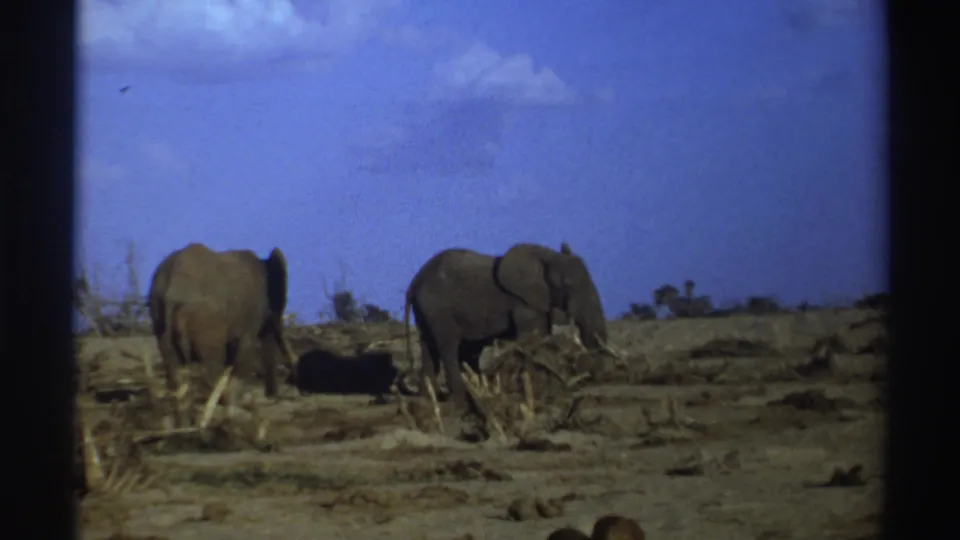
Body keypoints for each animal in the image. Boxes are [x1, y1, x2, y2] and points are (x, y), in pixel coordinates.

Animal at [147, 242, 296, 427]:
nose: (273, 397)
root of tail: (172, 290)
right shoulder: (250, 315)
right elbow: (243, 352)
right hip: (207, 321)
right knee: (211, 367)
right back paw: (208, 420)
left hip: (158, 316)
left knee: (176, 372)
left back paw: (185, 426)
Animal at [401, 242, 609, 408]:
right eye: (567, 283)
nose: (595, 379)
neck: (547, 256)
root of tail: (414, 282)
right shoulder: (522, 302)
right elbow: (533, 337)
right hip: (438, 309)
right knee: (448, 346)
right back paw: (459, 401)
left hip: (425, 310)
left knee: (429, 346)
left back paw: (430, 398)